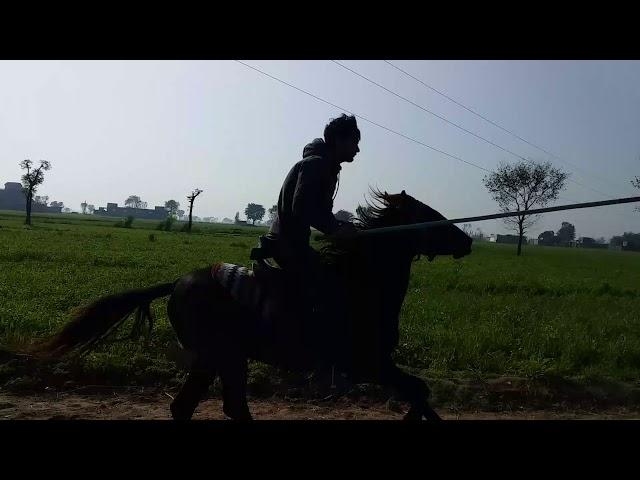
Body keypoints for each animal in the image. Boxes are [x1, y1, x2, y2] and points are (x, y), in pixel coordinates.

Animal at [31, 190, 470, 420]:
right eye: (430, 215)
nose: (466, 240)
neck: (361, 285)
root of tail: (178, 281)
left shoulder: (373, 364)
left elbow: (420, 392)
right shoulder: (369, 362)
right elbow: (418, 391)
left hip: (220, 358)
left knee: (206, 406)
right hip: (221, 354)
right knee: (213, 406)